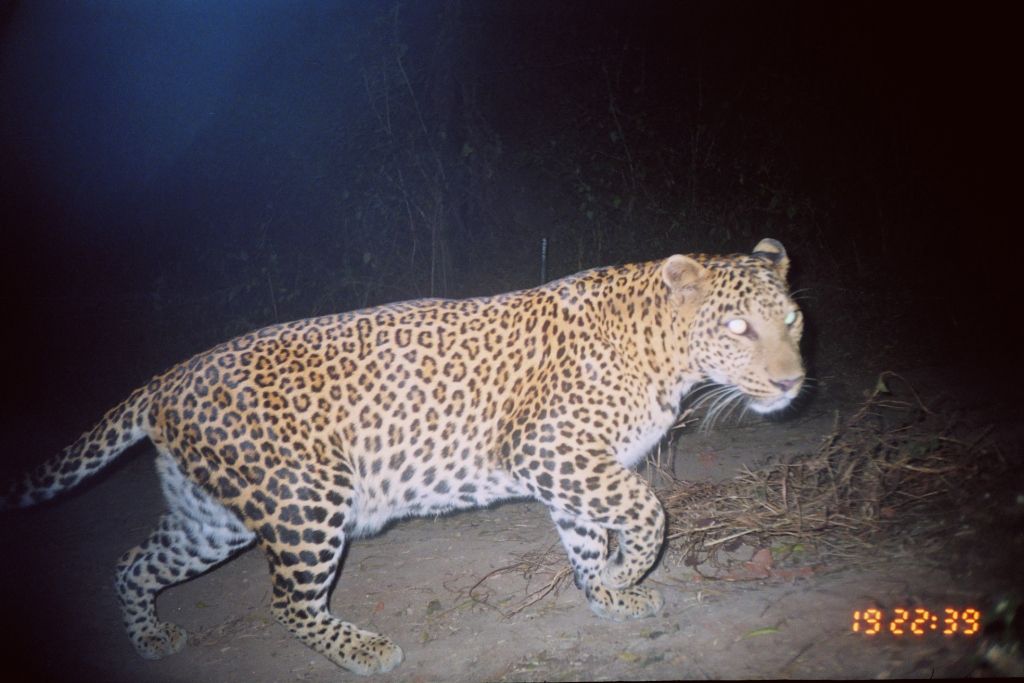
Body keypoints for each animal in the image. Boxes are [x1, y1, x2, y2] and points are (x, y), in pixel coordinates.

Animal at [2, 237, 806, 675]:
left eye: (793, 319)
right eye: (736, 326)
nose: (793, 381)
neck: (667, 353)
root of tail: (167, 377)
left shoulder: (571, 469)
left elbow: (589, 536)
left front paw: (606, 592)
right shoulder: (551, 448)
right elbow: (647, 512)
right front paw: (619, 576)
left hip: (214, 518)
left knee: (132, 563)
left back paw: (149, 636)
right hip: (306, 500)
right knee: (287, 601)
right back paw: (362, 649)